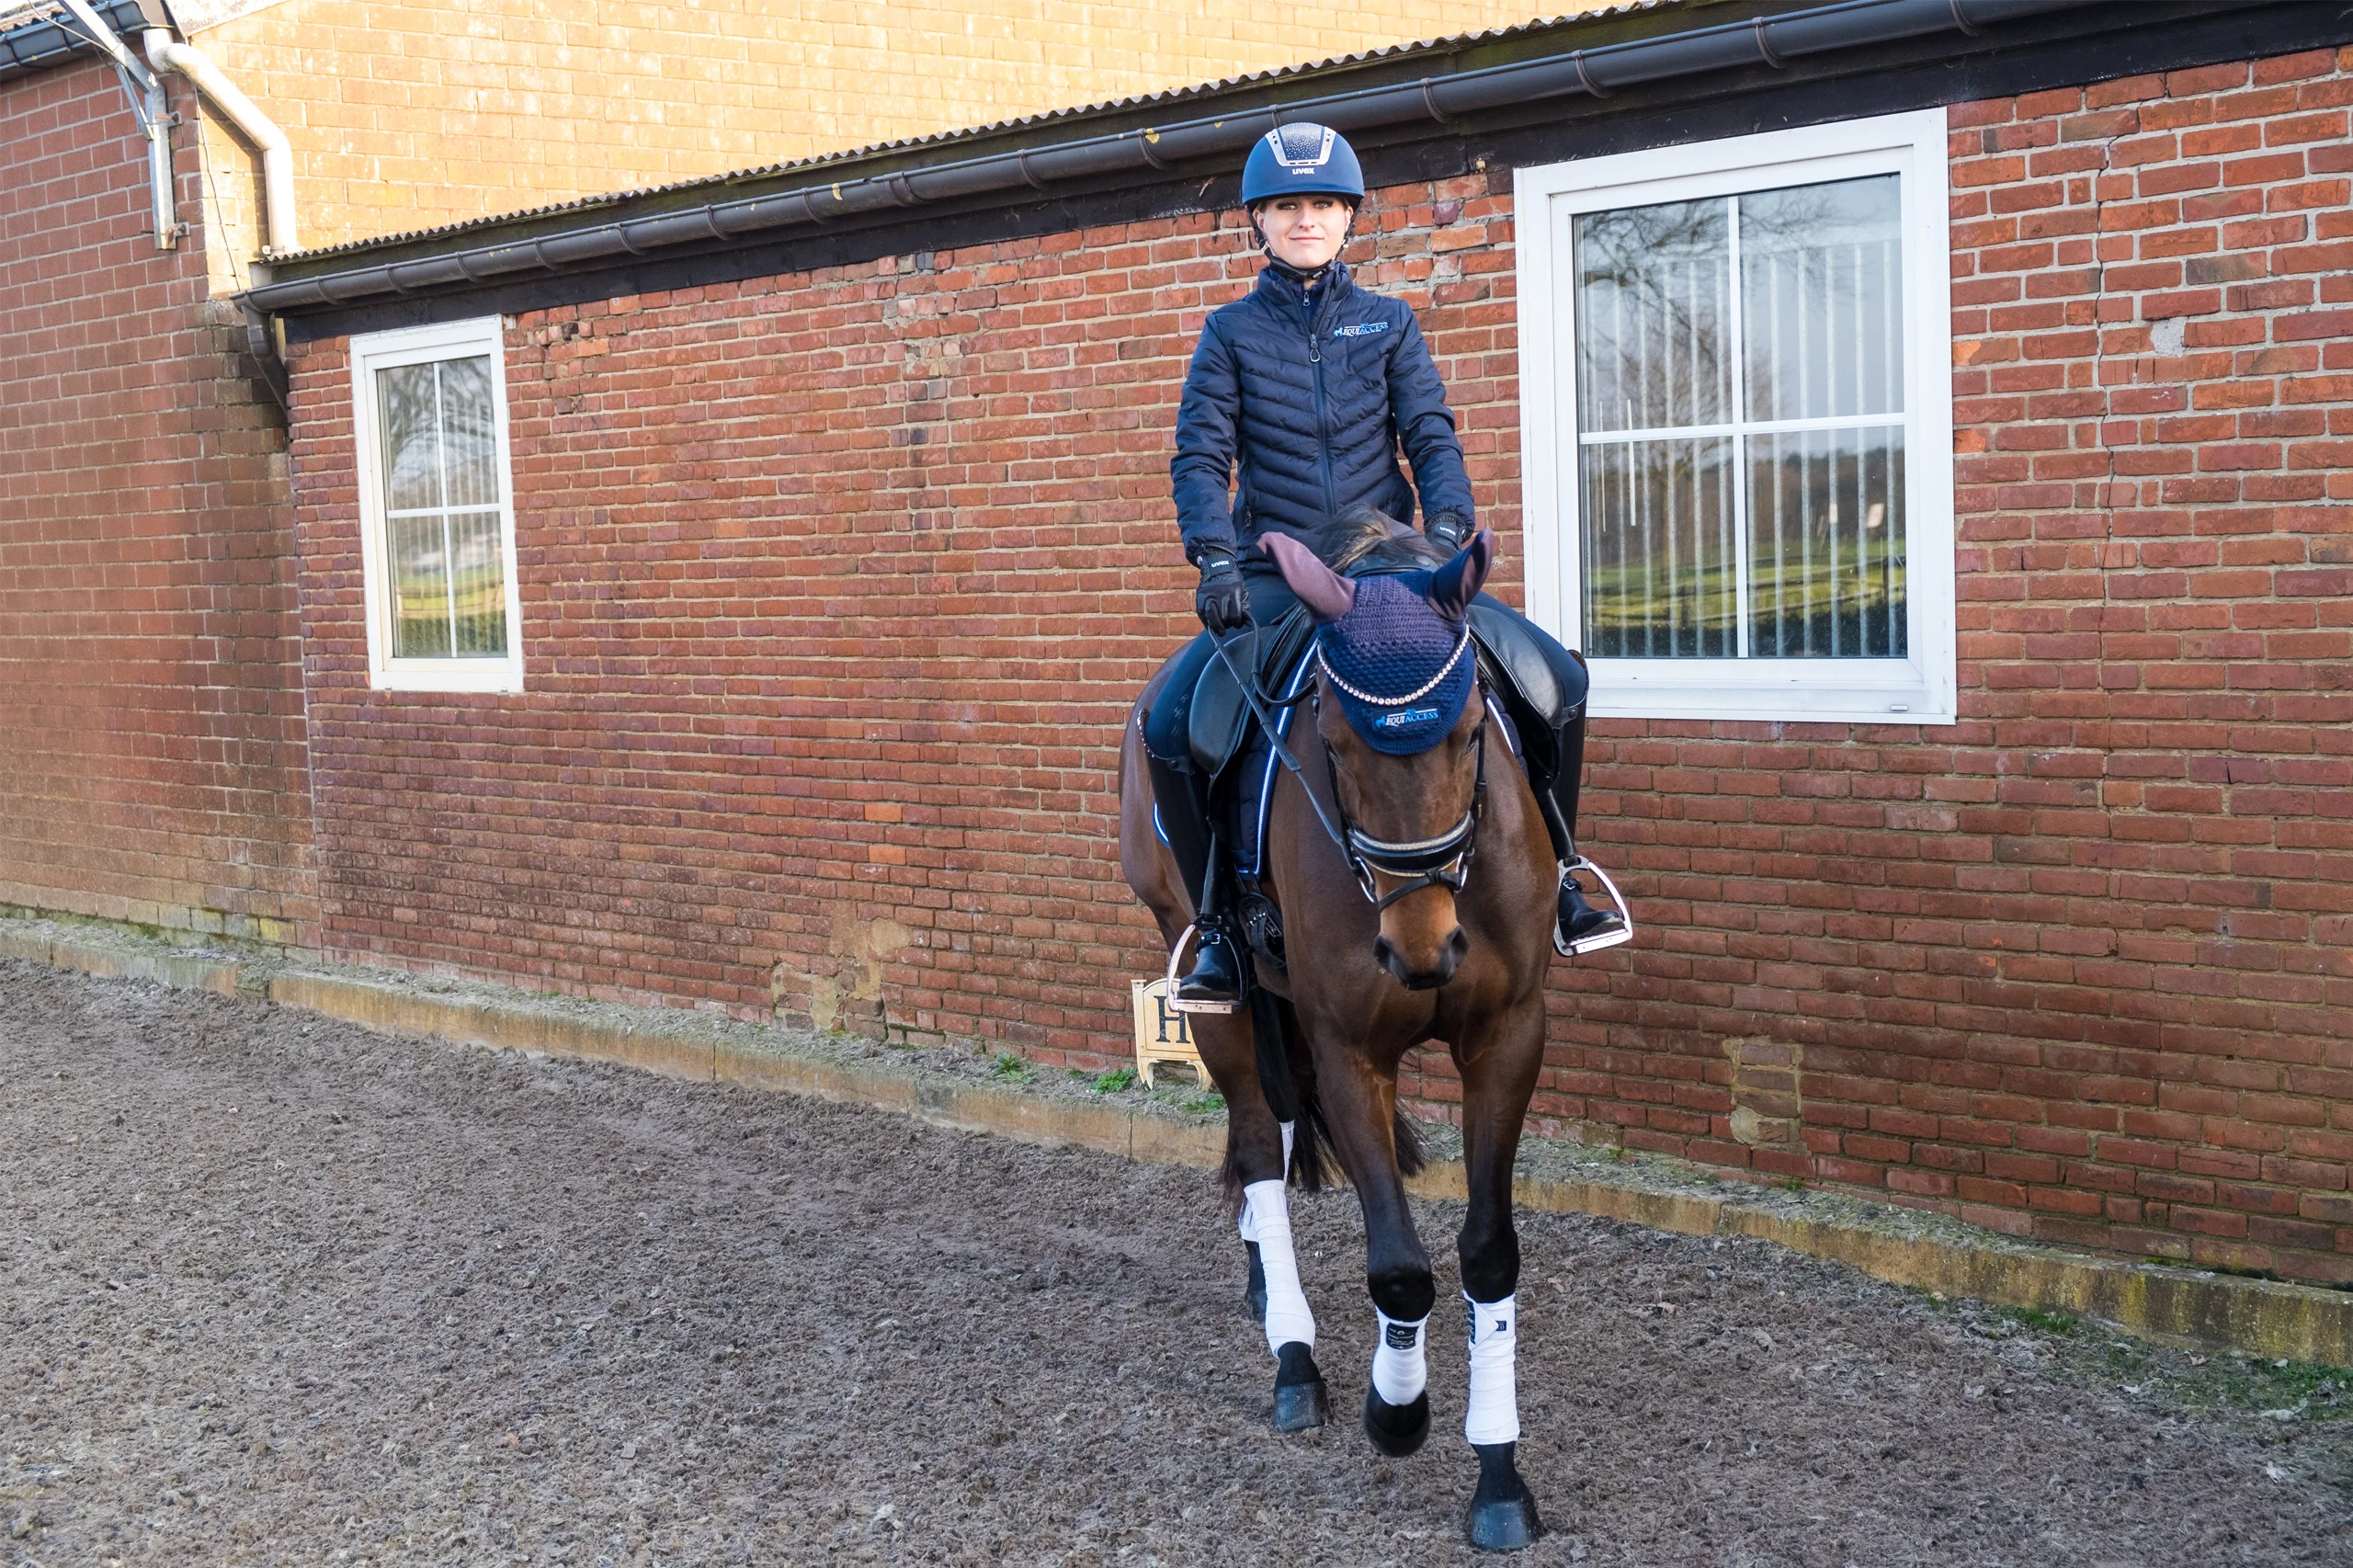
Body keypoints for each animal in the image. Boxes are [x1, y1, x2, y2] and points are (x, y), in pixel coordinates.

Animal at [1120, 522, 1562, 1535]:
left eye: (1473, 730)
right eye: (1330, 743)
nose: (1421, 949)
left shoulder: (1507, 1036)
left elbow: (1489, 1253)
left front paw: (1499, 1475)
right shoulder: (1350, 1048)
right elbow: (1398, 1266)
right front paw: (1396, 1410)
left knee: (1280, 1131)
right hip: (1215, 986)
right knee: (1256, 1143)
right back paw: (1293, 1357)